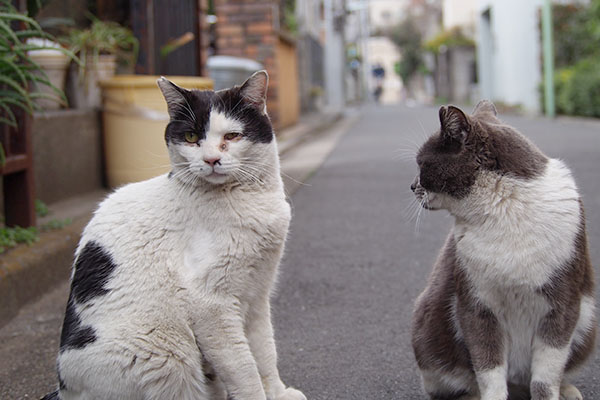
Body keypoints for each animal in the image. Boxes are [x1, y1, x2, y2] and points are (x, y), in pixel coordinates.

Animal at [42, 71, 308, 400]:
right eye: (192, 138)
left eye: (231, 136)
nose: (210, 160)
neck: (248, 201)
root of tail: (64, 390)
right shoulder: (211, 304)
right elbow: (244, 368)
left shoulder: (257, 295)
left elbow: (265, 352)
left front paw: (278, 392)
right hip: (167, 351)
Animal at [412, 101, 596, 400]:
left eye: (420, 163)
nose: (412, 185)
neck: (503, 209)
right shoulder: (476, 304)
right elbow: (488, 367)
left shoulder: (564, 303)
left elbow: (546, 375)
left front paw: (550, 393)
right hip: (426, 324)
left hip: (588, 322)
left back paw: (567, 390)